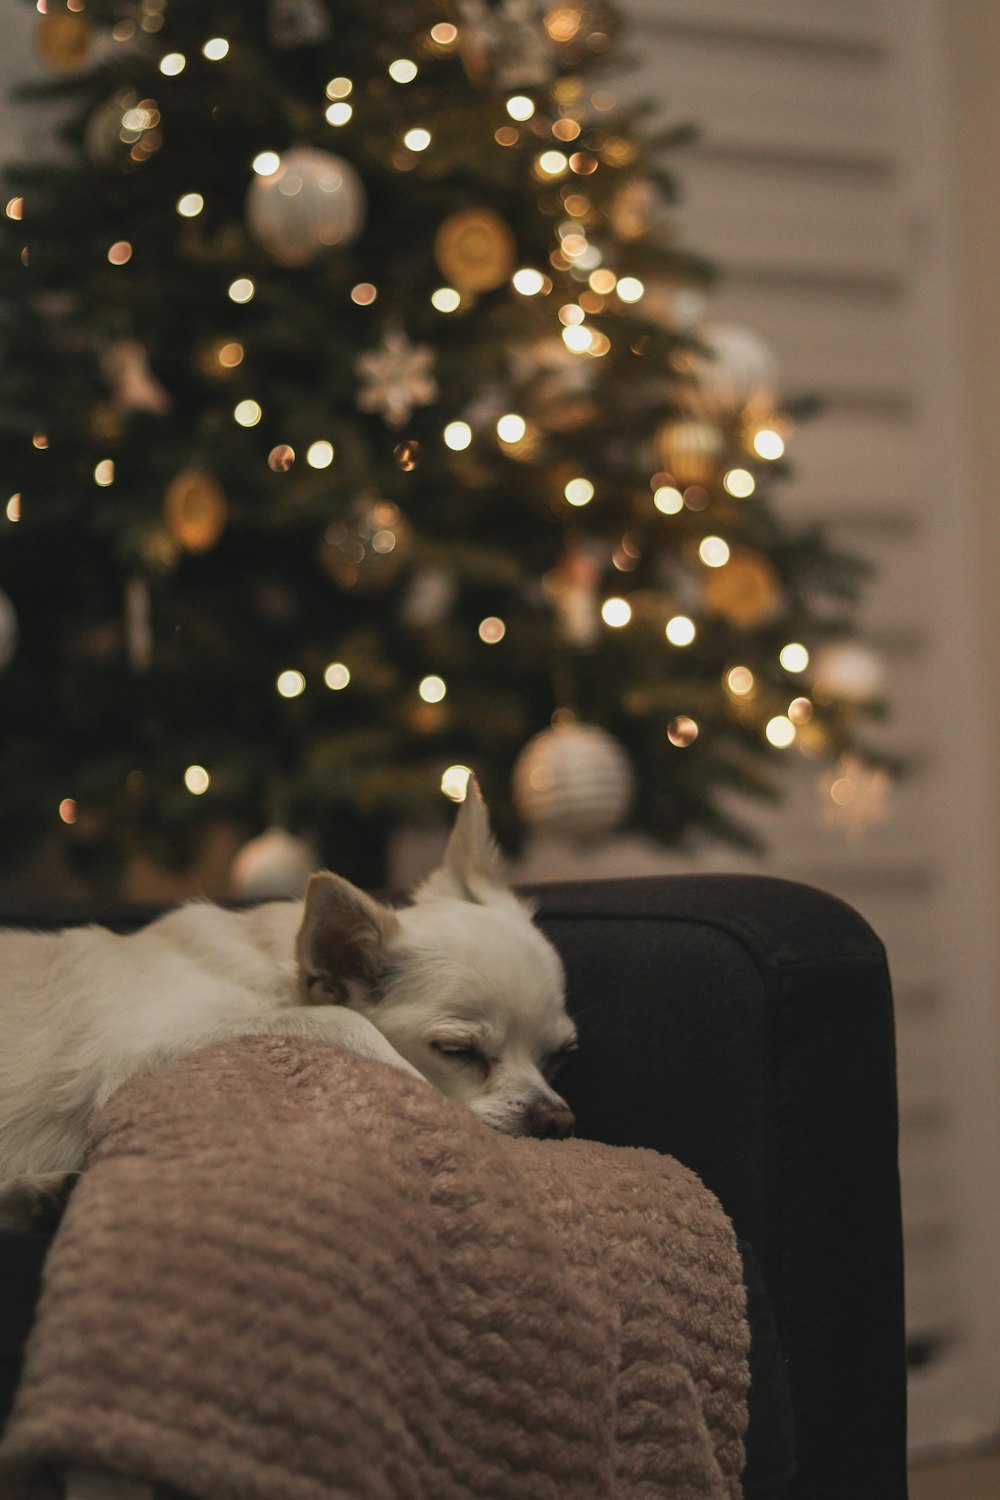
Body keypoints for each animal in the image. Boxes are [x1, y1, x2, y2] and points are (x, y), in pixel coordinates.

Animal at [0, 786, 578, 1230]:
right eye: (457, 1052)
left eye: (558, 1058)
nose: (556, 1119)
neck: (275, 974)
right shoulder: (140, 1052)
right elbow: (345, 1020)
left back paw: (37, 1196)